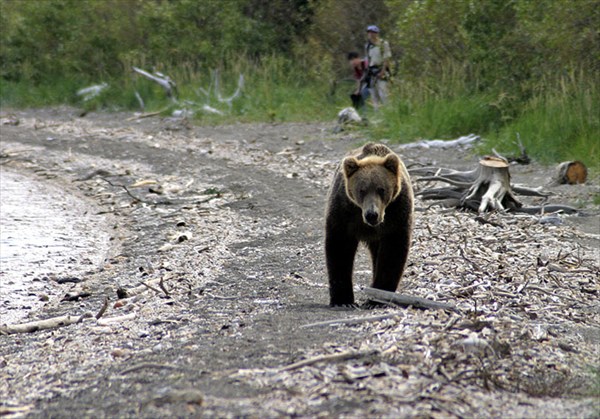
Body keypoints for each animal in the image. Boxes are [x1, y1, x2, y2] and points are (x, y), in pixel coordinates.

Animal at [324, 144, 412, 308]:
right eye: (362, 190)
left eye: (381, 189)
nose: (372, 214)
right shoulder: (344, 211)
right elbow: (339, 248)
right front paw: (343, 300)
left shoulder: (397, 212)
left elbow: (393, 252)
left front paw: (378, 298)